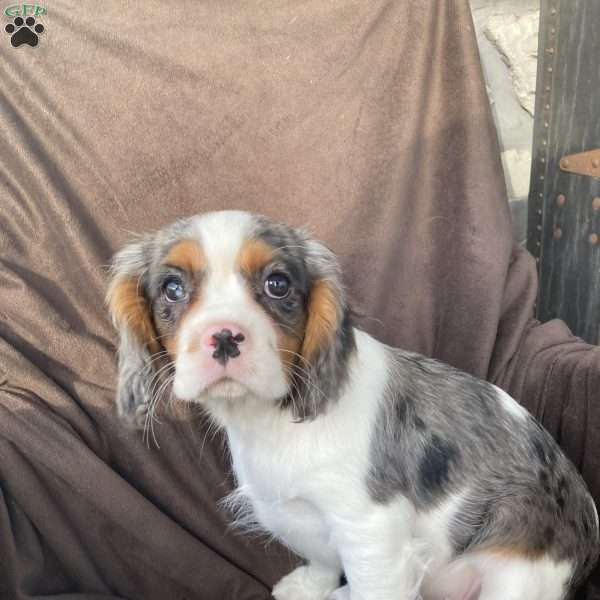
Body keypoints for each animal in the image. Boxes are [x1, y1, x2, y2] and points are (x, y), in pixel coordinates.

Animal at [109, 211, 600, 600]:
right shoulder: (290, 512)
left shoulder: (371, 532)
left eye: (277, 284)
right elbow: (323, 558)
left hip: (516, 577)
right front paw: (311, 587)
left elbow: (372, 585)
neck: (269, 421)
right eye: (172, 288)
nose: (225, 336)